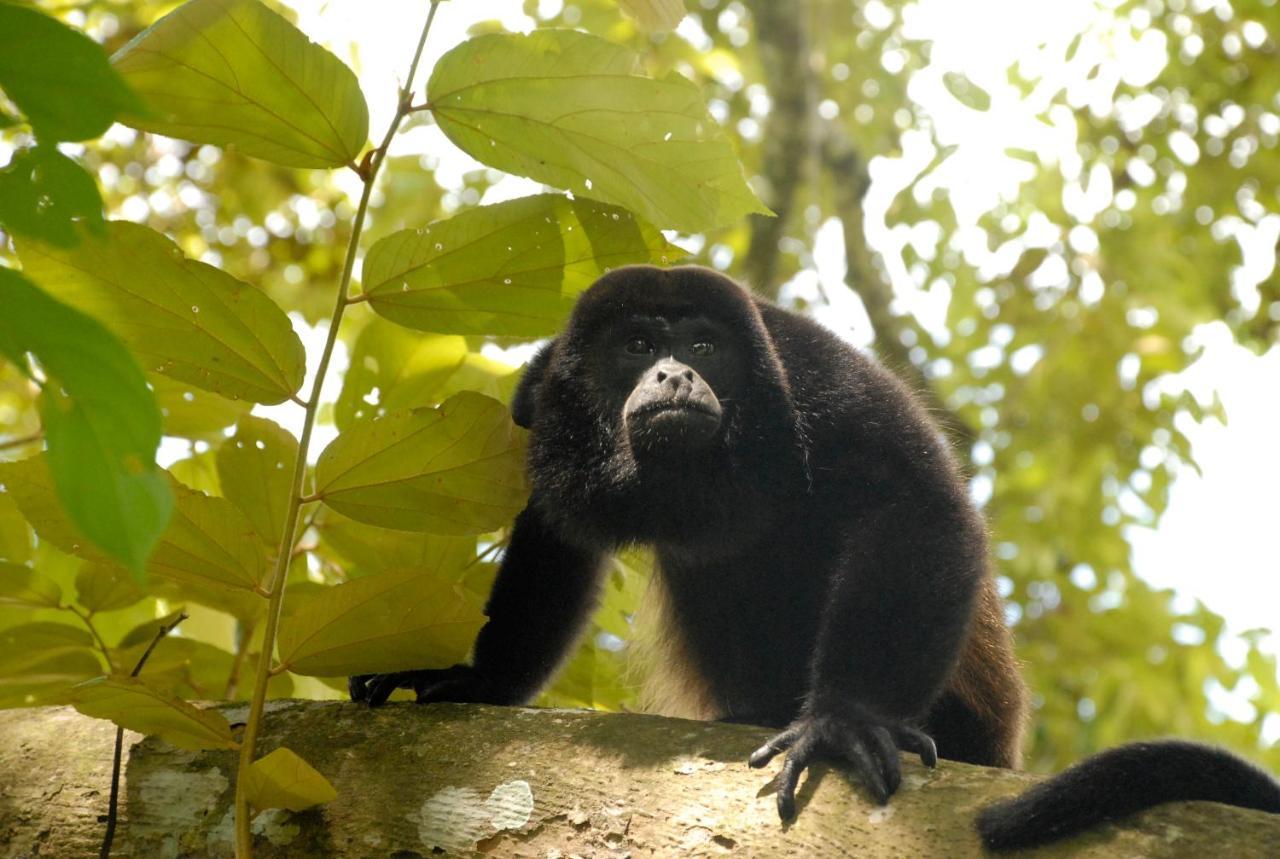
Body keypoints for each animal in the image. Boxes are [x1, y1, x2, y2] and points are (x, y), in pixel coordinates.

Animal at [350, 267, 1280, 844]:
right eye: (637, 346)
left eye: (704, 346)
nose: (674, 376)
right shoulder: (549, 389)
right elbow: (555, 526)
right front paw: (473, 680)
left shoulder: (812, 370)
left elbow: (919, 504)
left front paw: (843, 720)